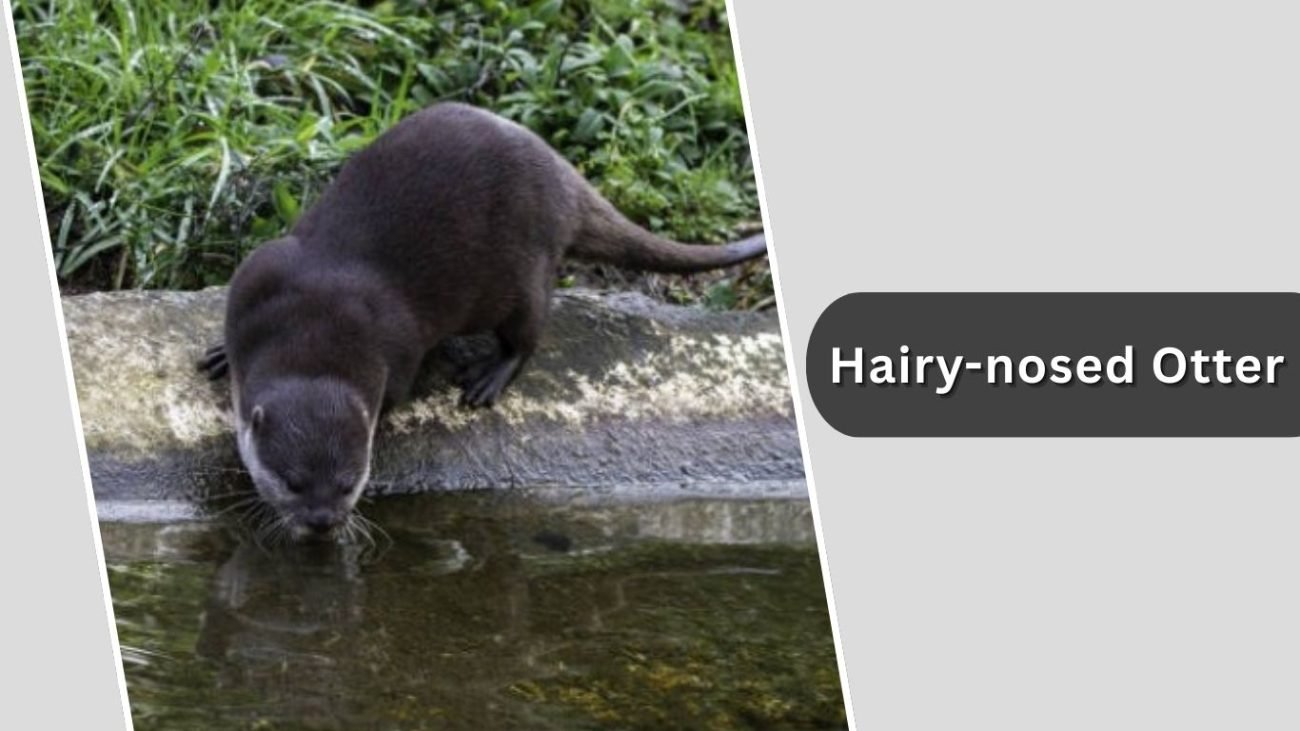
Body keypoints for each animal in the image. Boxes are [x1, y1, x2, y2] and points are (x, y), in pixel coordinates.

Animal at [198, 102, 767, 539]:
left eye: (348, 481)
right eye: (292, 480)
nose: (322, 522)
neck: (315, 324)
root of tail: (562, 177)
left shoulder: (397, 349)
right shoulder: (257, 274)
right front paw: (221, 354)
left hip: (524, 270)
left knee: (529, 330)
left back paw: (489, 377)